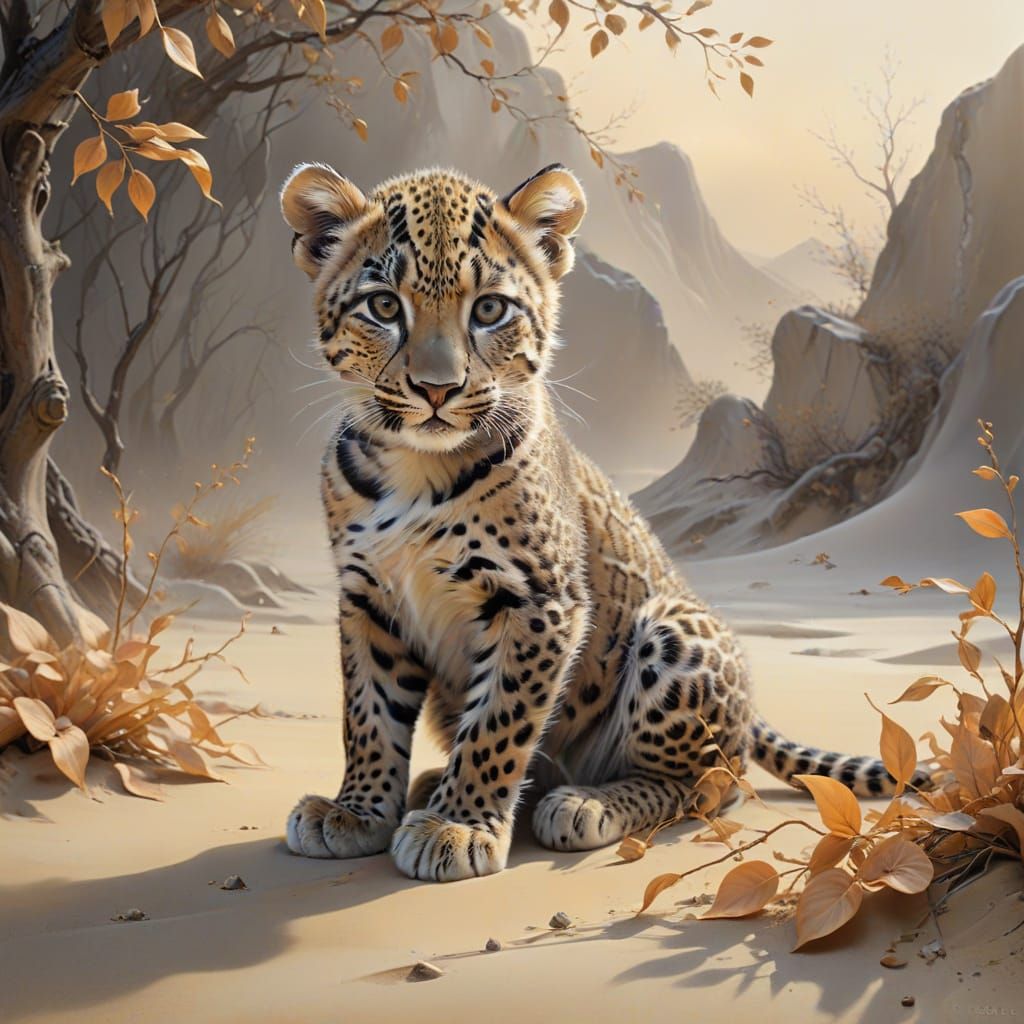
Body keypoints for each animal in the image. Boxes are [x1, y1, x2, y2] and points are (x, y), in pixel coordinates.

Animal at [279, 162, 923, 883]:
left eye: (489, 310)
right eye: (385, 307)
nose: (437, 389)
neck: (415, 469)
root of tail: (748, 711)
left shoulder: (538, 598)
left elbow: (497, 722)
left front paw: (458, 826)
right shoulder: (368, 597)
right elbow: (367, 714)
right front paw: (356, 811)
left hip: (672, 637)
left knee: (711, 784)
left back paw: (582, 805)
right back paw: (432, 785)